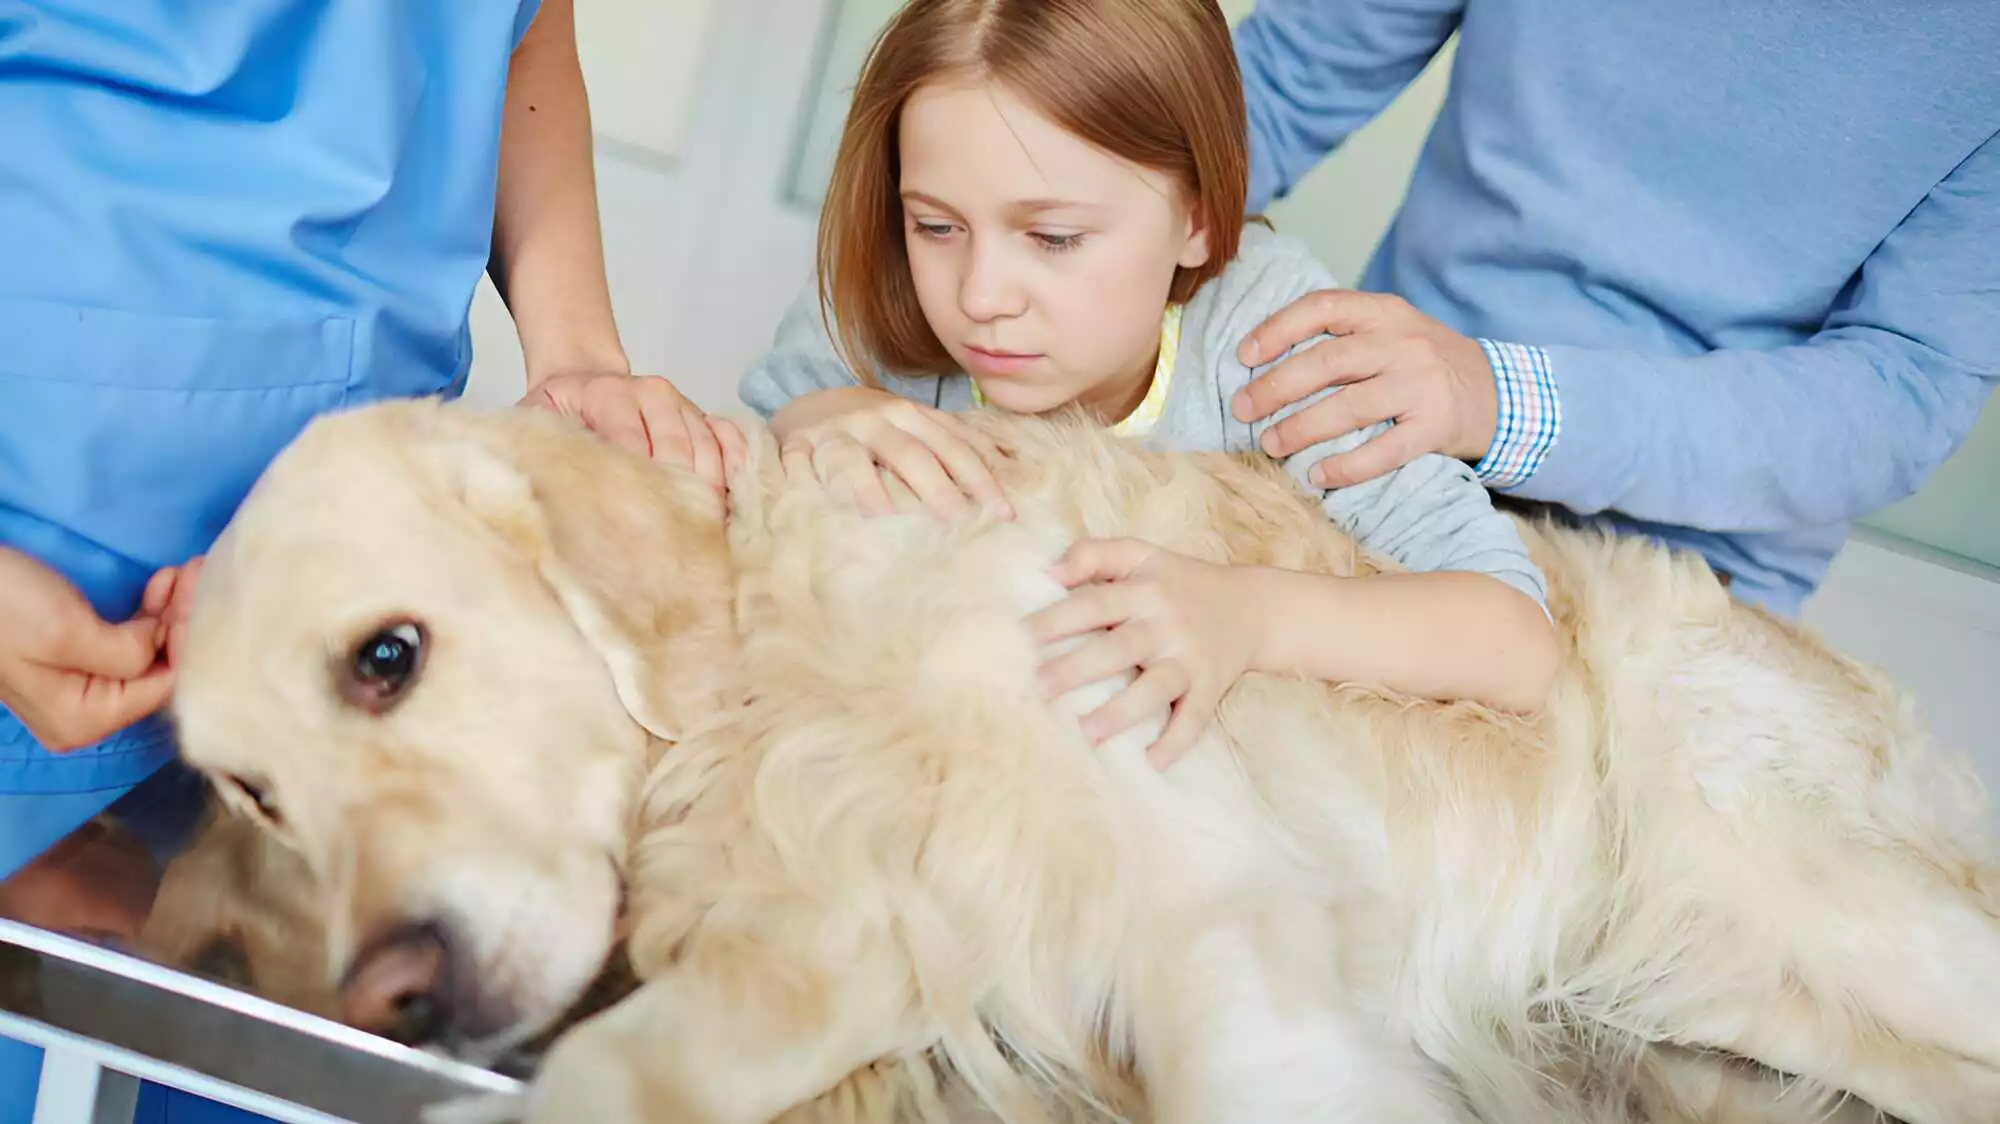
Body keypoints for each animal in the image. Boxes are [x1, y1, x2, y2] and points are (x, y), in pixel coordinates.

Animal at [164, 398, 1992, 1112]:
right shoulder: (858, 928)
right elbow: (635, 1067)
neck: (781, 667)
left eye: (387, 657)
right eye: (254, 790)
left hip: (1797, 880)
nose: (390, 992)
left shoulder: (1219, 914)